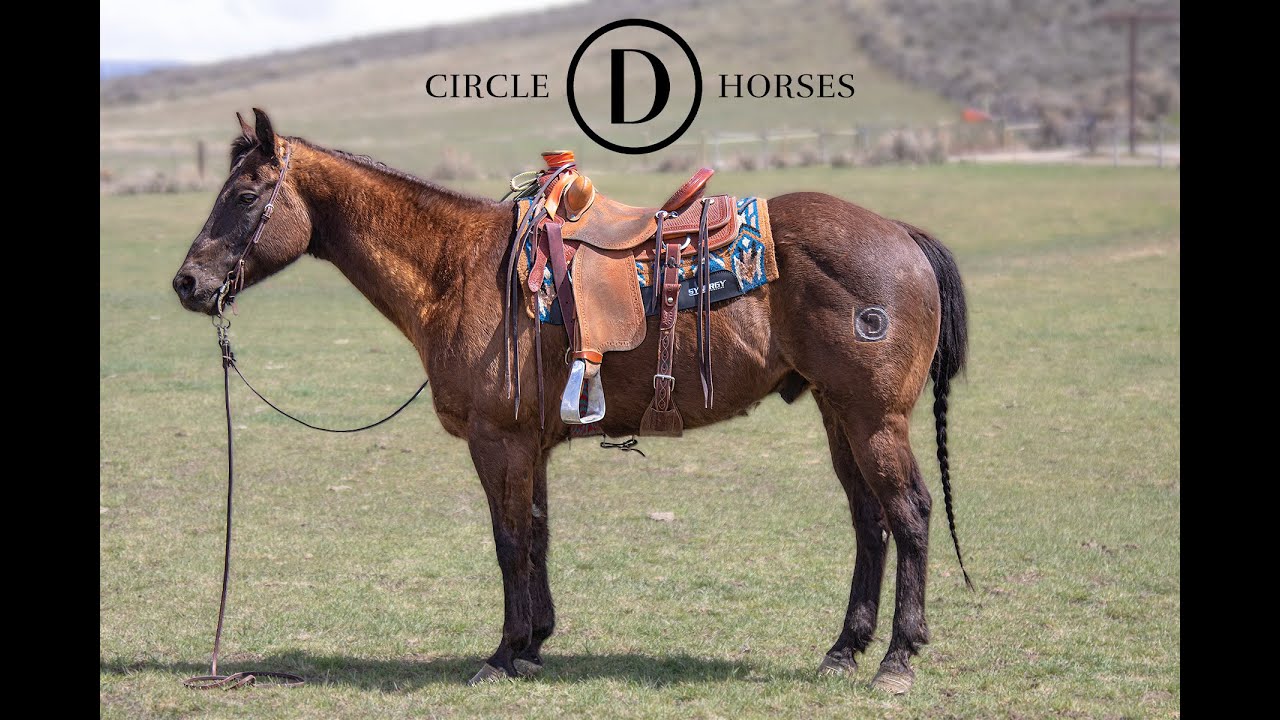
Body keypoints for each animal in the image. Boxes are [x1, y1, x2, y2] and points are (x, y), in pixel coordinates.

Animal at [172, 109, 970, 693]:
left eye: (245, 196)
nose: (187, 283)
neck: (455, 268)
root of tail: (903, 235)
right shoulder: (531, 443)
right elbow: (537, 533)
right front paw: (534, 644)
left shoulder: (497, 441)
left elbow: (508, 542)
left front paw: (502, 654)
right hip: (840, 415)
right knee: (869, 522)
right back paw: (843, 651)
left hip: (874, 420)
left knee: (909, 515)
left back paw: (897, 659)